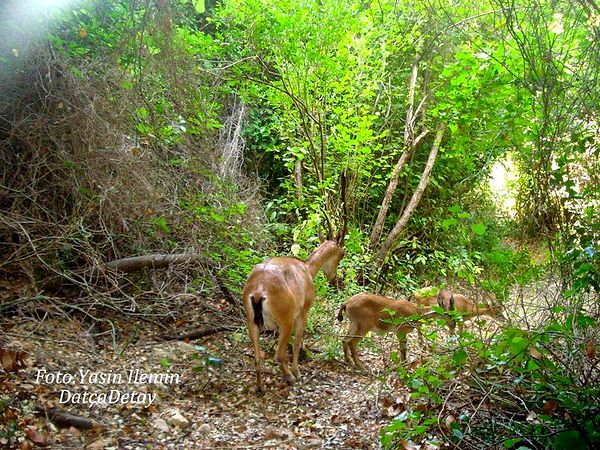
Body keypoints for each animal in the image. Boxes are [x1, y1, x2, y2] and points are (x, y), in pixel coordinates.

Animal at [244, 239, 344, 390]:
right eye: (341, 255)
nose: (334, 278)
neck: (307, 268)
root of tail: (258, 292)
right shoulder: (303, 312)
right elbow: (296, 343)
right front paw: (296, 372)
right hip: (286, 321)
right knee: (279, 355)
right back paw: (290, 377)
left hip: (252, 322)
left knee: (257, 357)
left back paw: (260, 386)